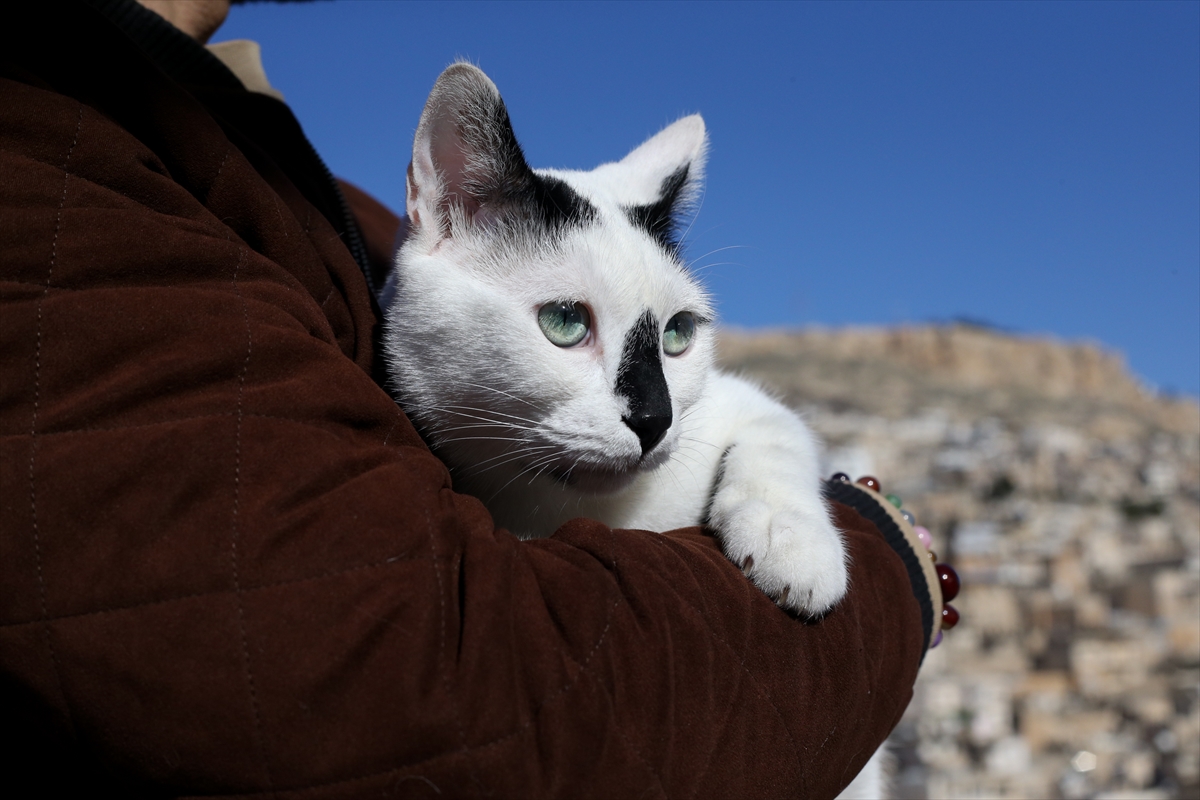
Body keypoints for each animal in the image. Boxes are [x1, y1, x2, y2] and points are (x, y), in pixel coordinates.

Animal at [381, 62, 883, 796]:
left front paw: (792, 543)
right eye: (564, 322)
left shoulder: (739, 405)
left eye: (678, 334)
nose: (654, 418)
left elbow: (778, 433)